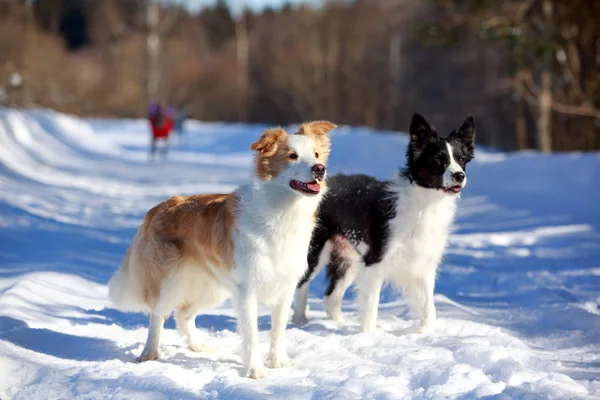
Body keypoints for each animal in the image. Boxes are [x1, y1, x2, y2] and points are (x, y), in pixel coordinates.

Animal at [108, 121, 338, 378]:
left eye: (316, 155)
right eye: (292, 156)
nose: (320, 169)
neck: (282, 212)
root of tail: (159, 208)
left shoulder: (285, 288)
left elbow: (278, 331)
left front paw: (280, 364)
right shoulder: (247, 290)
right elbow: (252, 333)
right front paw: (255, 371)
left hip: (211, 288)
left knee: (183, 314)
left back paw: (198, 346)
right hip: (170, 282)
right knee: (158, 314)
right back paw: (149, 354)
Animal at [292, 113, 476, 334]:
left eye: (461, 159)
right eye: (439, 159)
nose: (460, 175)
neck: (426, 203)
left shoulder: (423, 263)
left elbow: (428, 307)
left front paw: (424, 332)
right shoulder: (375, 261)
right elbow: (371, 305)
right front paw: (369, 335)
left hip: (349, 259)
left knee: (331, 297)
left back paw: (339, 325)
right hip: (316, 251)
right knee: (302, 285)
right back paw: (300, 321)